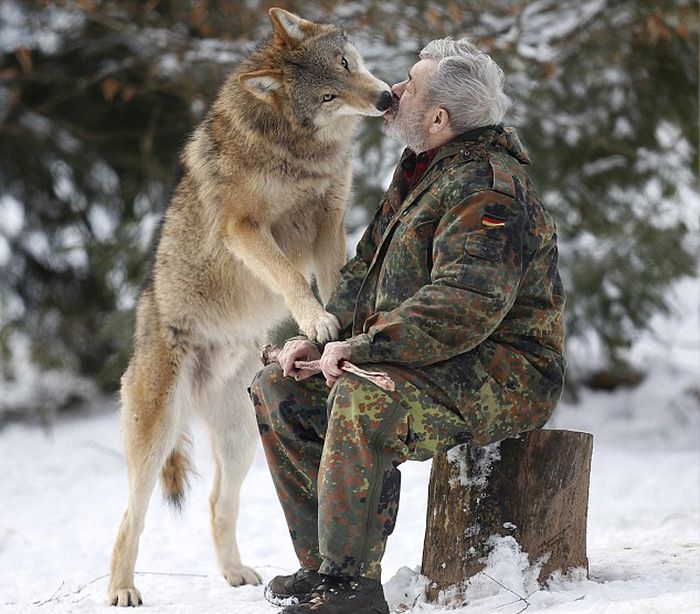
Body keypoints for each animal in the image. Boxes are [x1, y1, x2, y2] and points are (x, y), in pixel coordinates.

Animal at [108, 8, 394, 608]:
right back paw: (121, 591)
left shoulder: (329, 220)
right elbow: (288, 276)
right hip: (156, 437)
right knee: (130, 517)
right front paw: (316, 320)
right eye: (328, 95)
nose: (384, 99)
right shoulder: (245, 229)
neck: (297, 151)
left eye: (346, 64)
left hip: (241, 440)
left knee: (219, 503)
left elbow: (336, 277)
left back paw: (236, 574)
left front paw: (336, 332)